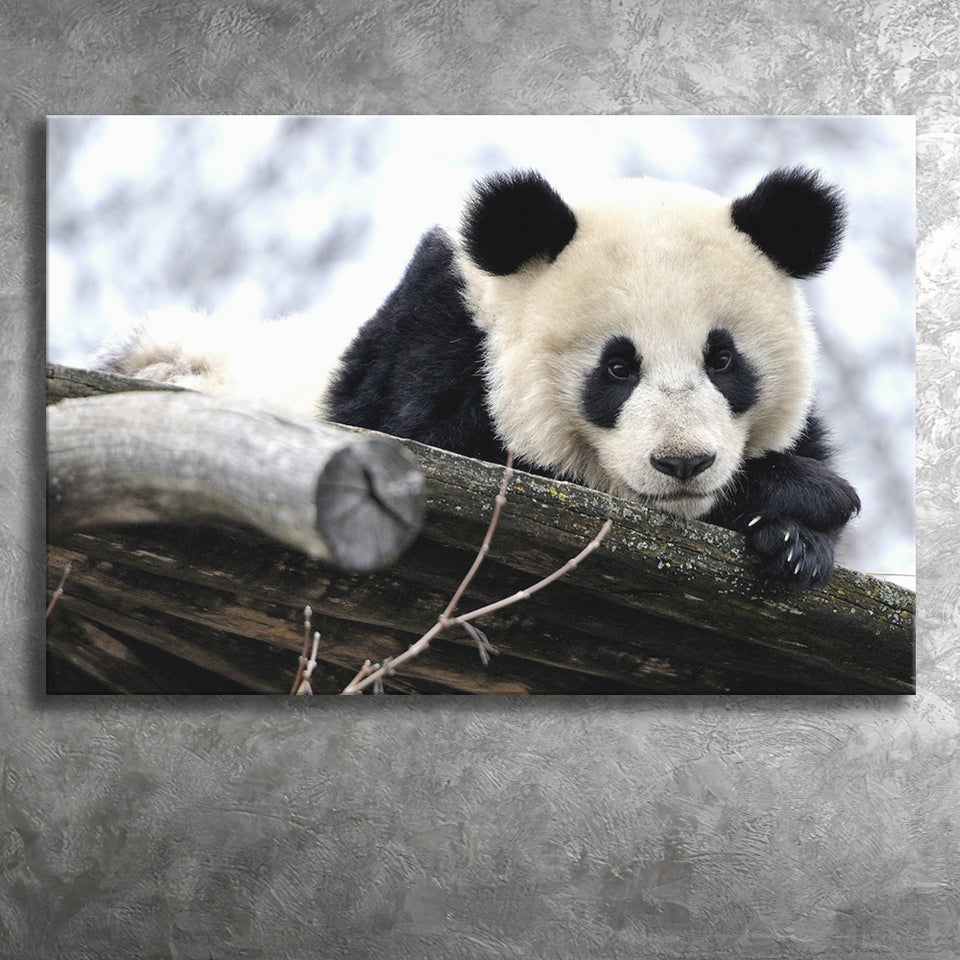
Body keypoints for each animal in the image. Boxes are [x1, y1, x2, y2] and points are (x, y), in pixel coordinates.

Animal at [100, 167, 860, 589]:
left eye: (722, 360)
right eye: (617, 367)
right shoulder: (430, 348)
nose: (683, 463)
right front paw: (804, 495)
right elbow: (452, 446)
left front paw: (796, 542)